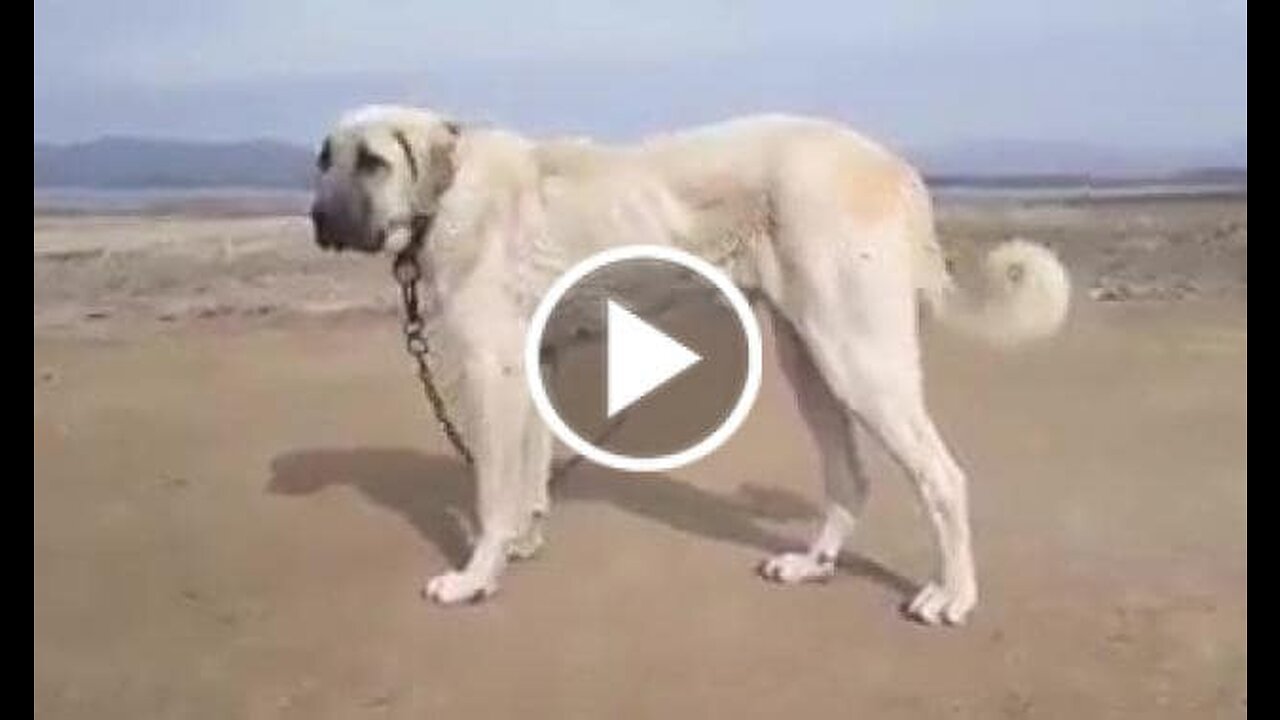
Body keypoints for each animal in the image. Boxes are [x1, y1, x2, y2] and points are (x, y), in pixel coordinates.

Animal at [309, 105, 1070, 622]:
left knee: (943, 478)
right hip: (811, 358)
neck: (447, 194)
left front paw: (474, 577)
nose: (318, 221)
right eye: (323, 159)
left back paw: (953, 596)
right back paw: (812, 565)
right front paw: (524, 542)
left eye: (372, 162)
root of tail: (897, 168)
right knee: (849, 477)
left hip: (858, 355)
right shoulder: (530, 368)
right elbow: (527, 473)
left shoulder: (490, 370)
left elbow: (493, 490)